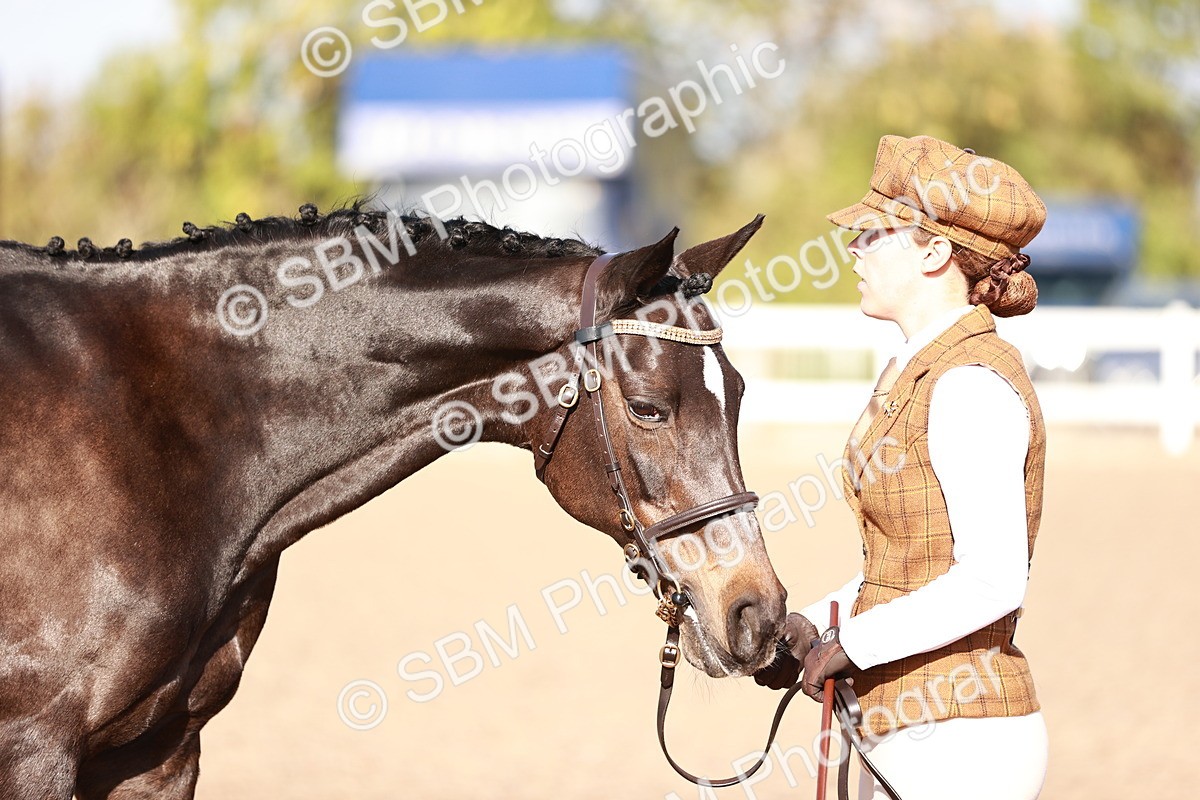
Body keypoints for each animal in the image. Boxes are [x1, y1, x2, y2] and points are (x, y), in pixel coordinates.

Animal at [0, 204, 787, 799]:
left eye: (740, 392)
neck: (164, 422)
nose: (758, 613)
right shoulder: (33, 748)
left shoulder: (161, 752)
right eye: (650, 409)